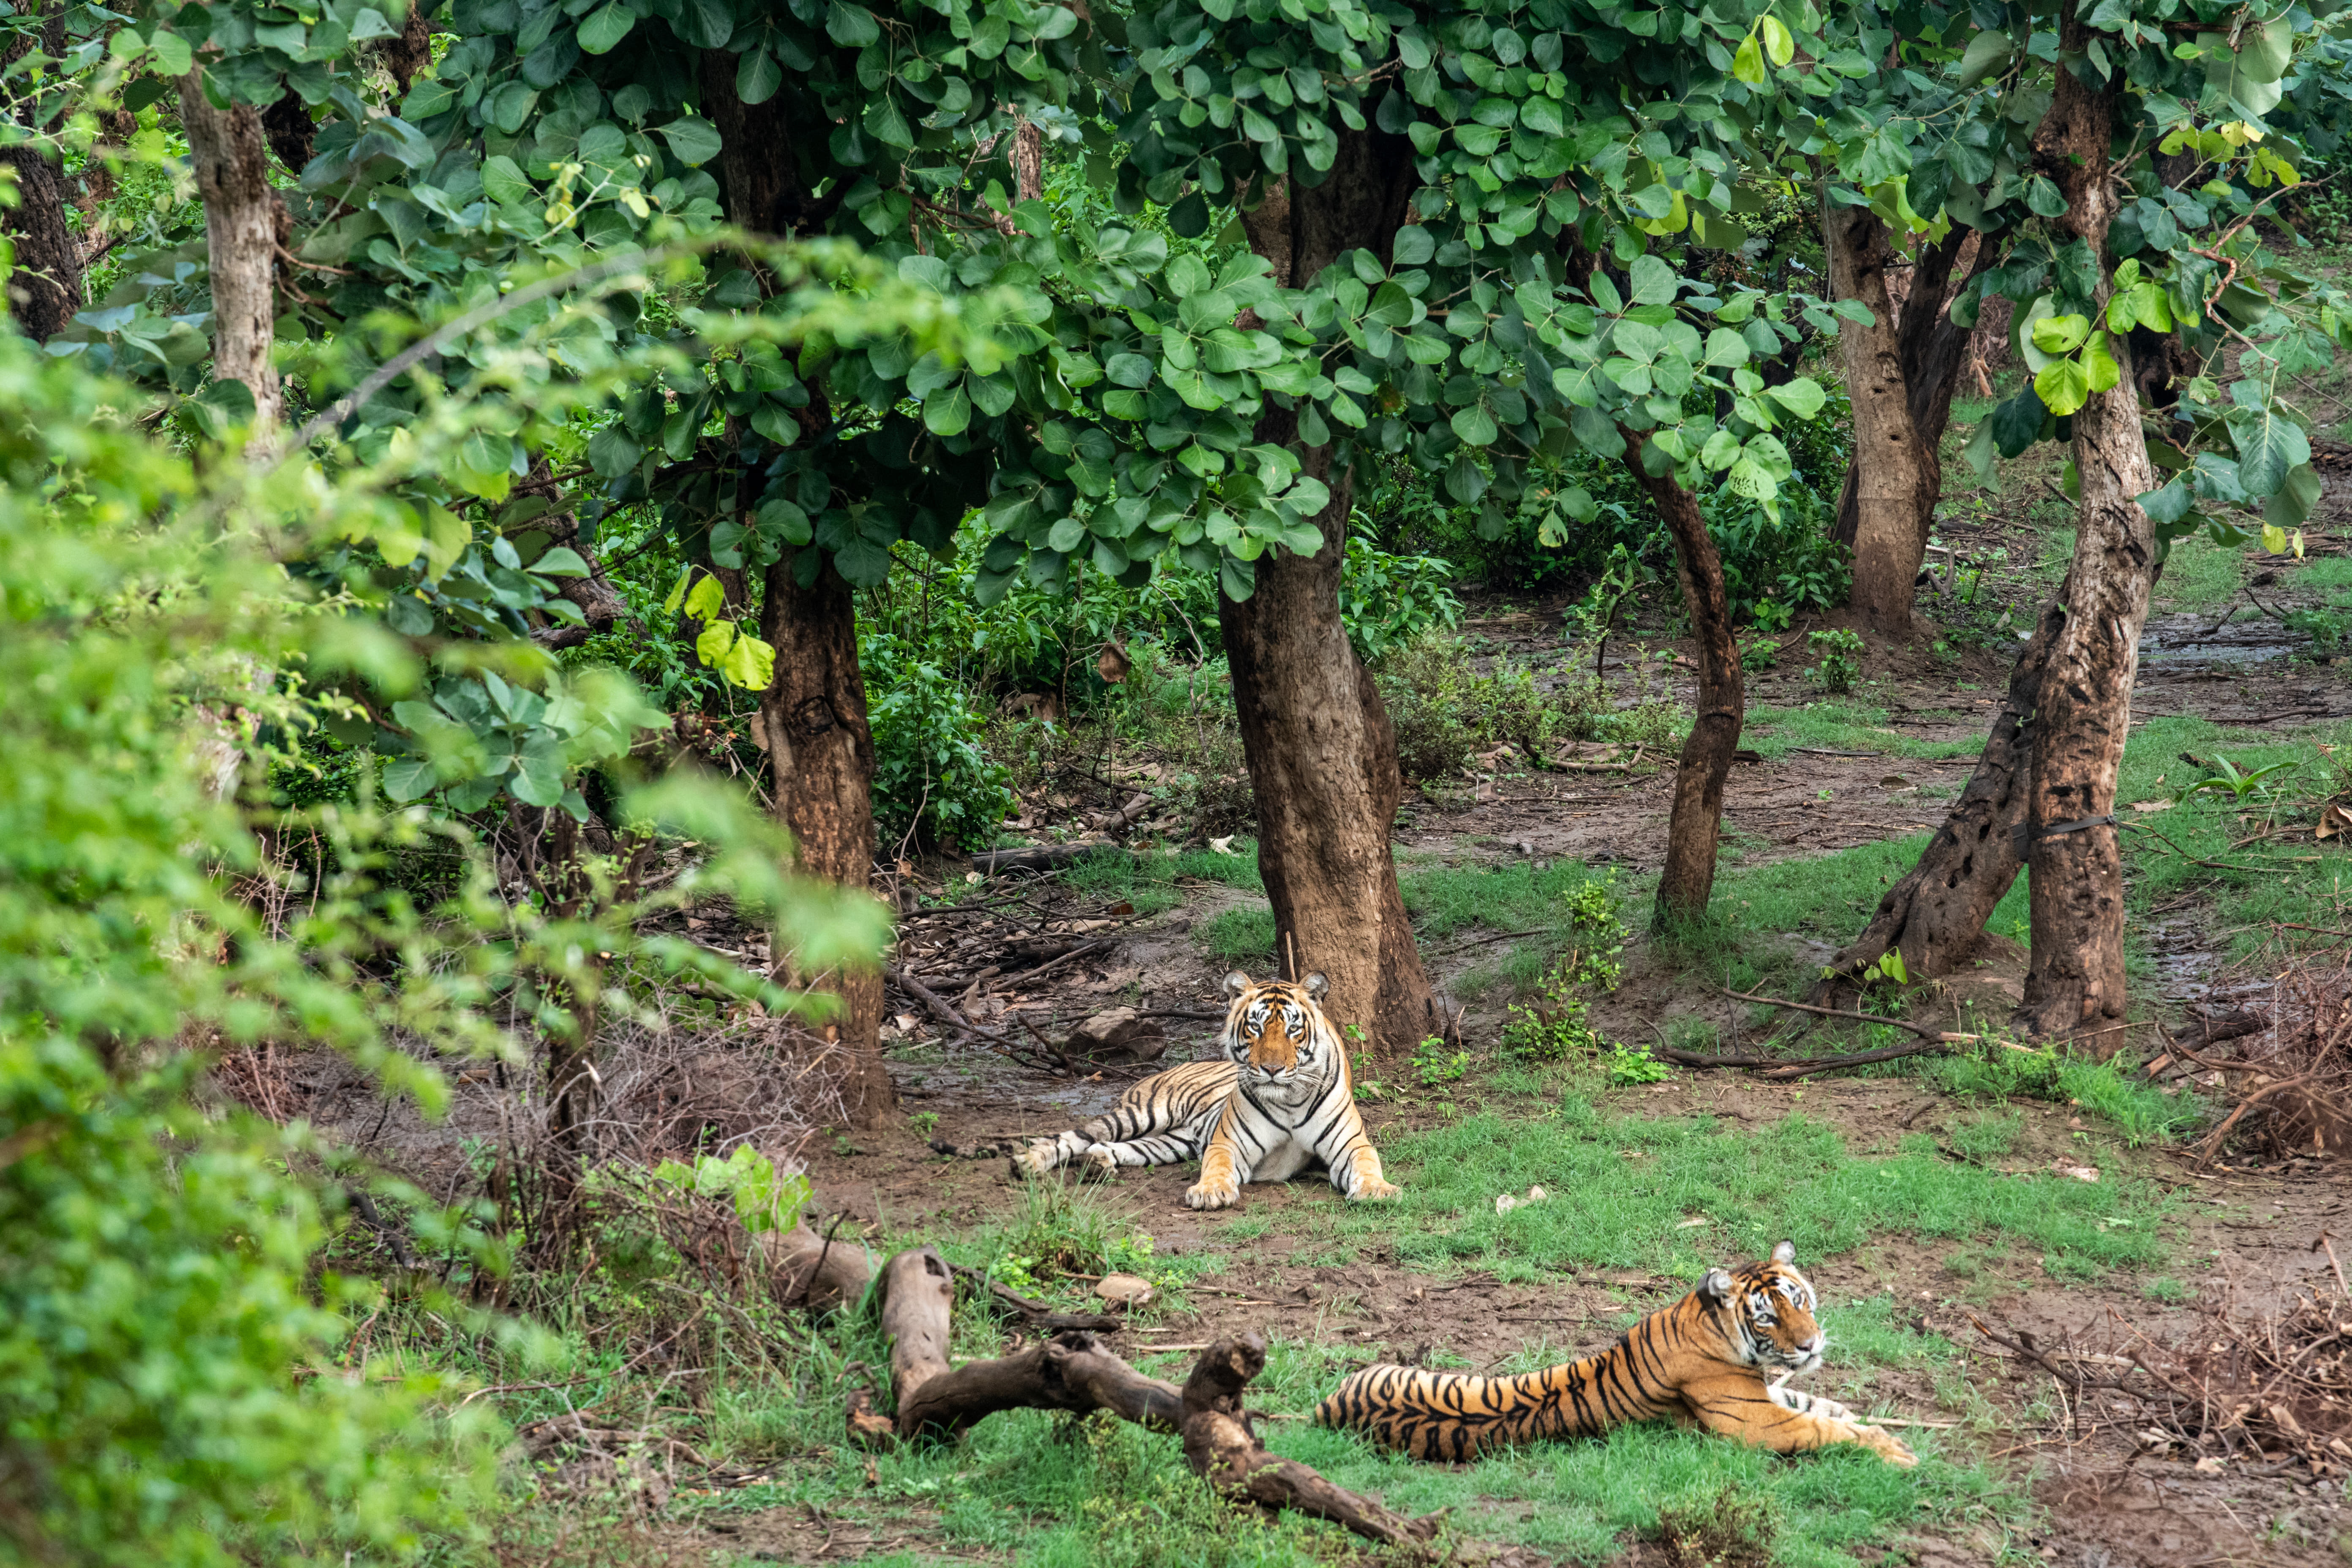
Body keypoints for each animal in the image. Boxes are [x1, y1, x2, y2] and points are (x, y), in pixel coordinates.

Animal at [1010, 971, 1399, 1211]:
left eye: (1293, 1030)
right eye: (1255, 1028)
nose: (1272, 1070)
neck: (1288, 1100)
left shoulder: (1351, 1145)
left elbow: (1367, 1163)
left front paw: (1377, 1189)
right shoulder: (1228, 1144)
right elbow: (1217, 1166)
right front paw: (1211, 1192)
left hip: (1171, 1143)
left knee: (1115, 1147)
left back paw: (1097, 1164)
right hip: (1142, 1114)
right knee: (1075, 1136)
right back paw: (1028, 1162)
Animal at [1312, 1242, 1916, 1467]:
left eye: (1801, 1299)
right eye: (1768, 1315)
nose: (1811, 1343)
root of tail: (1326, 1407)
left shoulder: (1770, 1394)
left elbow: (1827, 1408)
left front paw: (1884, 1428)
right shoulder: (1759, 1422)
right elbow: (1825, 1428)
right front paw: (1896, 1451)